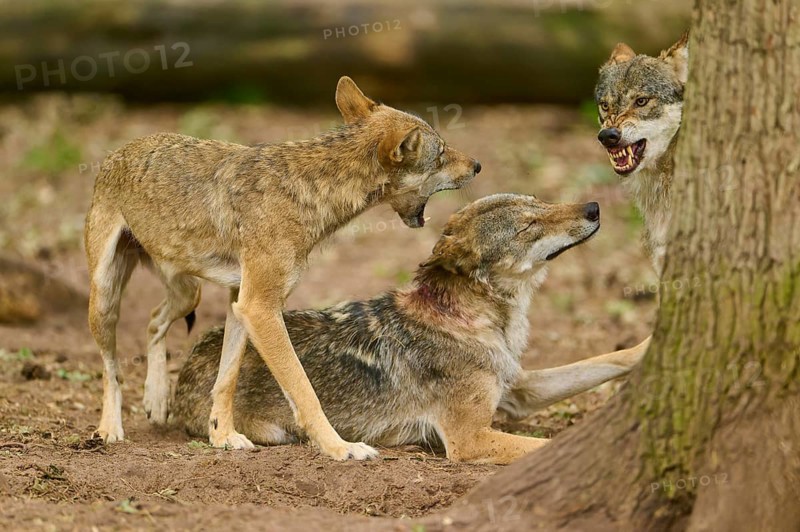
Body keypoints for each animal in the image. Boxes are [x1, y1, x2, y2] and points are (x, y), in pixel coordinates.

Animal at [84, 76, 481, 460]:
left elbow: (226, 381)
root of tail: (119, 151)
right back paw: (109, 429)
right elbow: (304, 390)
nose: (477, 165)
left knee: (154, 319)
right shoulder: (259, 307)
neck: (309, 192)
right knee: (111, 366)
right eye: (441, 152)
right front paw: (340, 448)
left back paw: (156, 400)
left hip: (187, 294)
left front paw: (223, 437)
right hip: (104, 299)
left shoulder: (240, 302)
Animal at [173, 194, 650, 464]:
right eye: (529, 226)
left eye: (543, 202)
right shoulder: (469, 439)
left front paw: (650, 345)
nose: (594, 207)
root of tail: (189, 363)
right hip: (276, 428)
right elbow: (548, 444)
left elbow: (607, 358)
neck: (479, 322)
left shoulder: (519, 390)